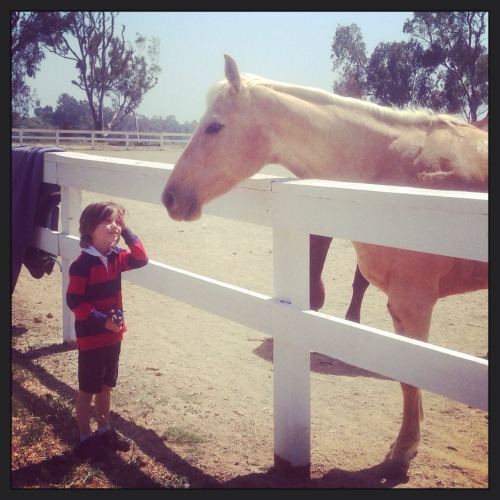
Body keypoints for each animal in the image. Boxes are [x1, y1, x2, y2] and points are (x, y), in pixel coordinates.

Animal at [163, 54, 488, 476]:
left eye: (215, 126)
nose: (169, 197)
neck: (391, 173)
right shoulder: (401, 308)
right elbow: (407, 378)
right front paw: (405, 444)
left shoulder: (414, 302)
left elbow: (410, 376)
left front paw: (403, 452)